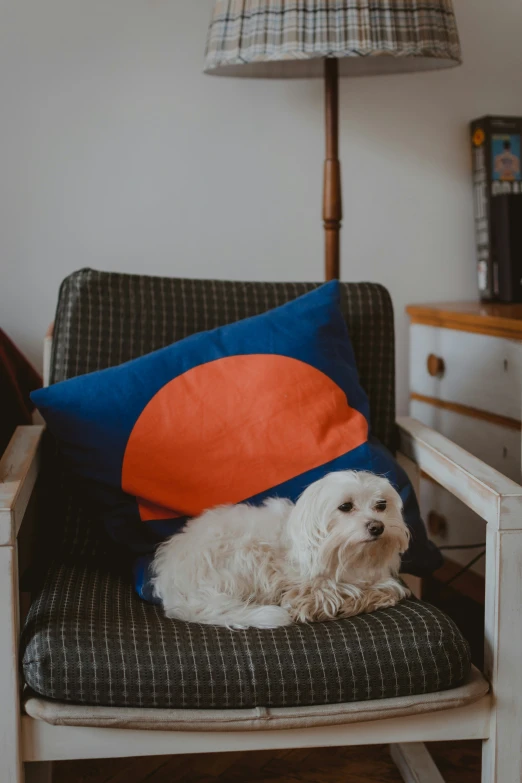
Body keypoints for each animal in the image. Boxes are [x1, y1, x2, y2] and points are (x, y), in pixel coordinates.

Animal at [152, 472, 408, 632]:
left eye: (382, 505)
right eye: (345, 506)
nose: (377, 527)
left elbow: (389, 588)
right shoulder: (303, 584)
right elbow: (323, 593)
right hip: (249, 554)